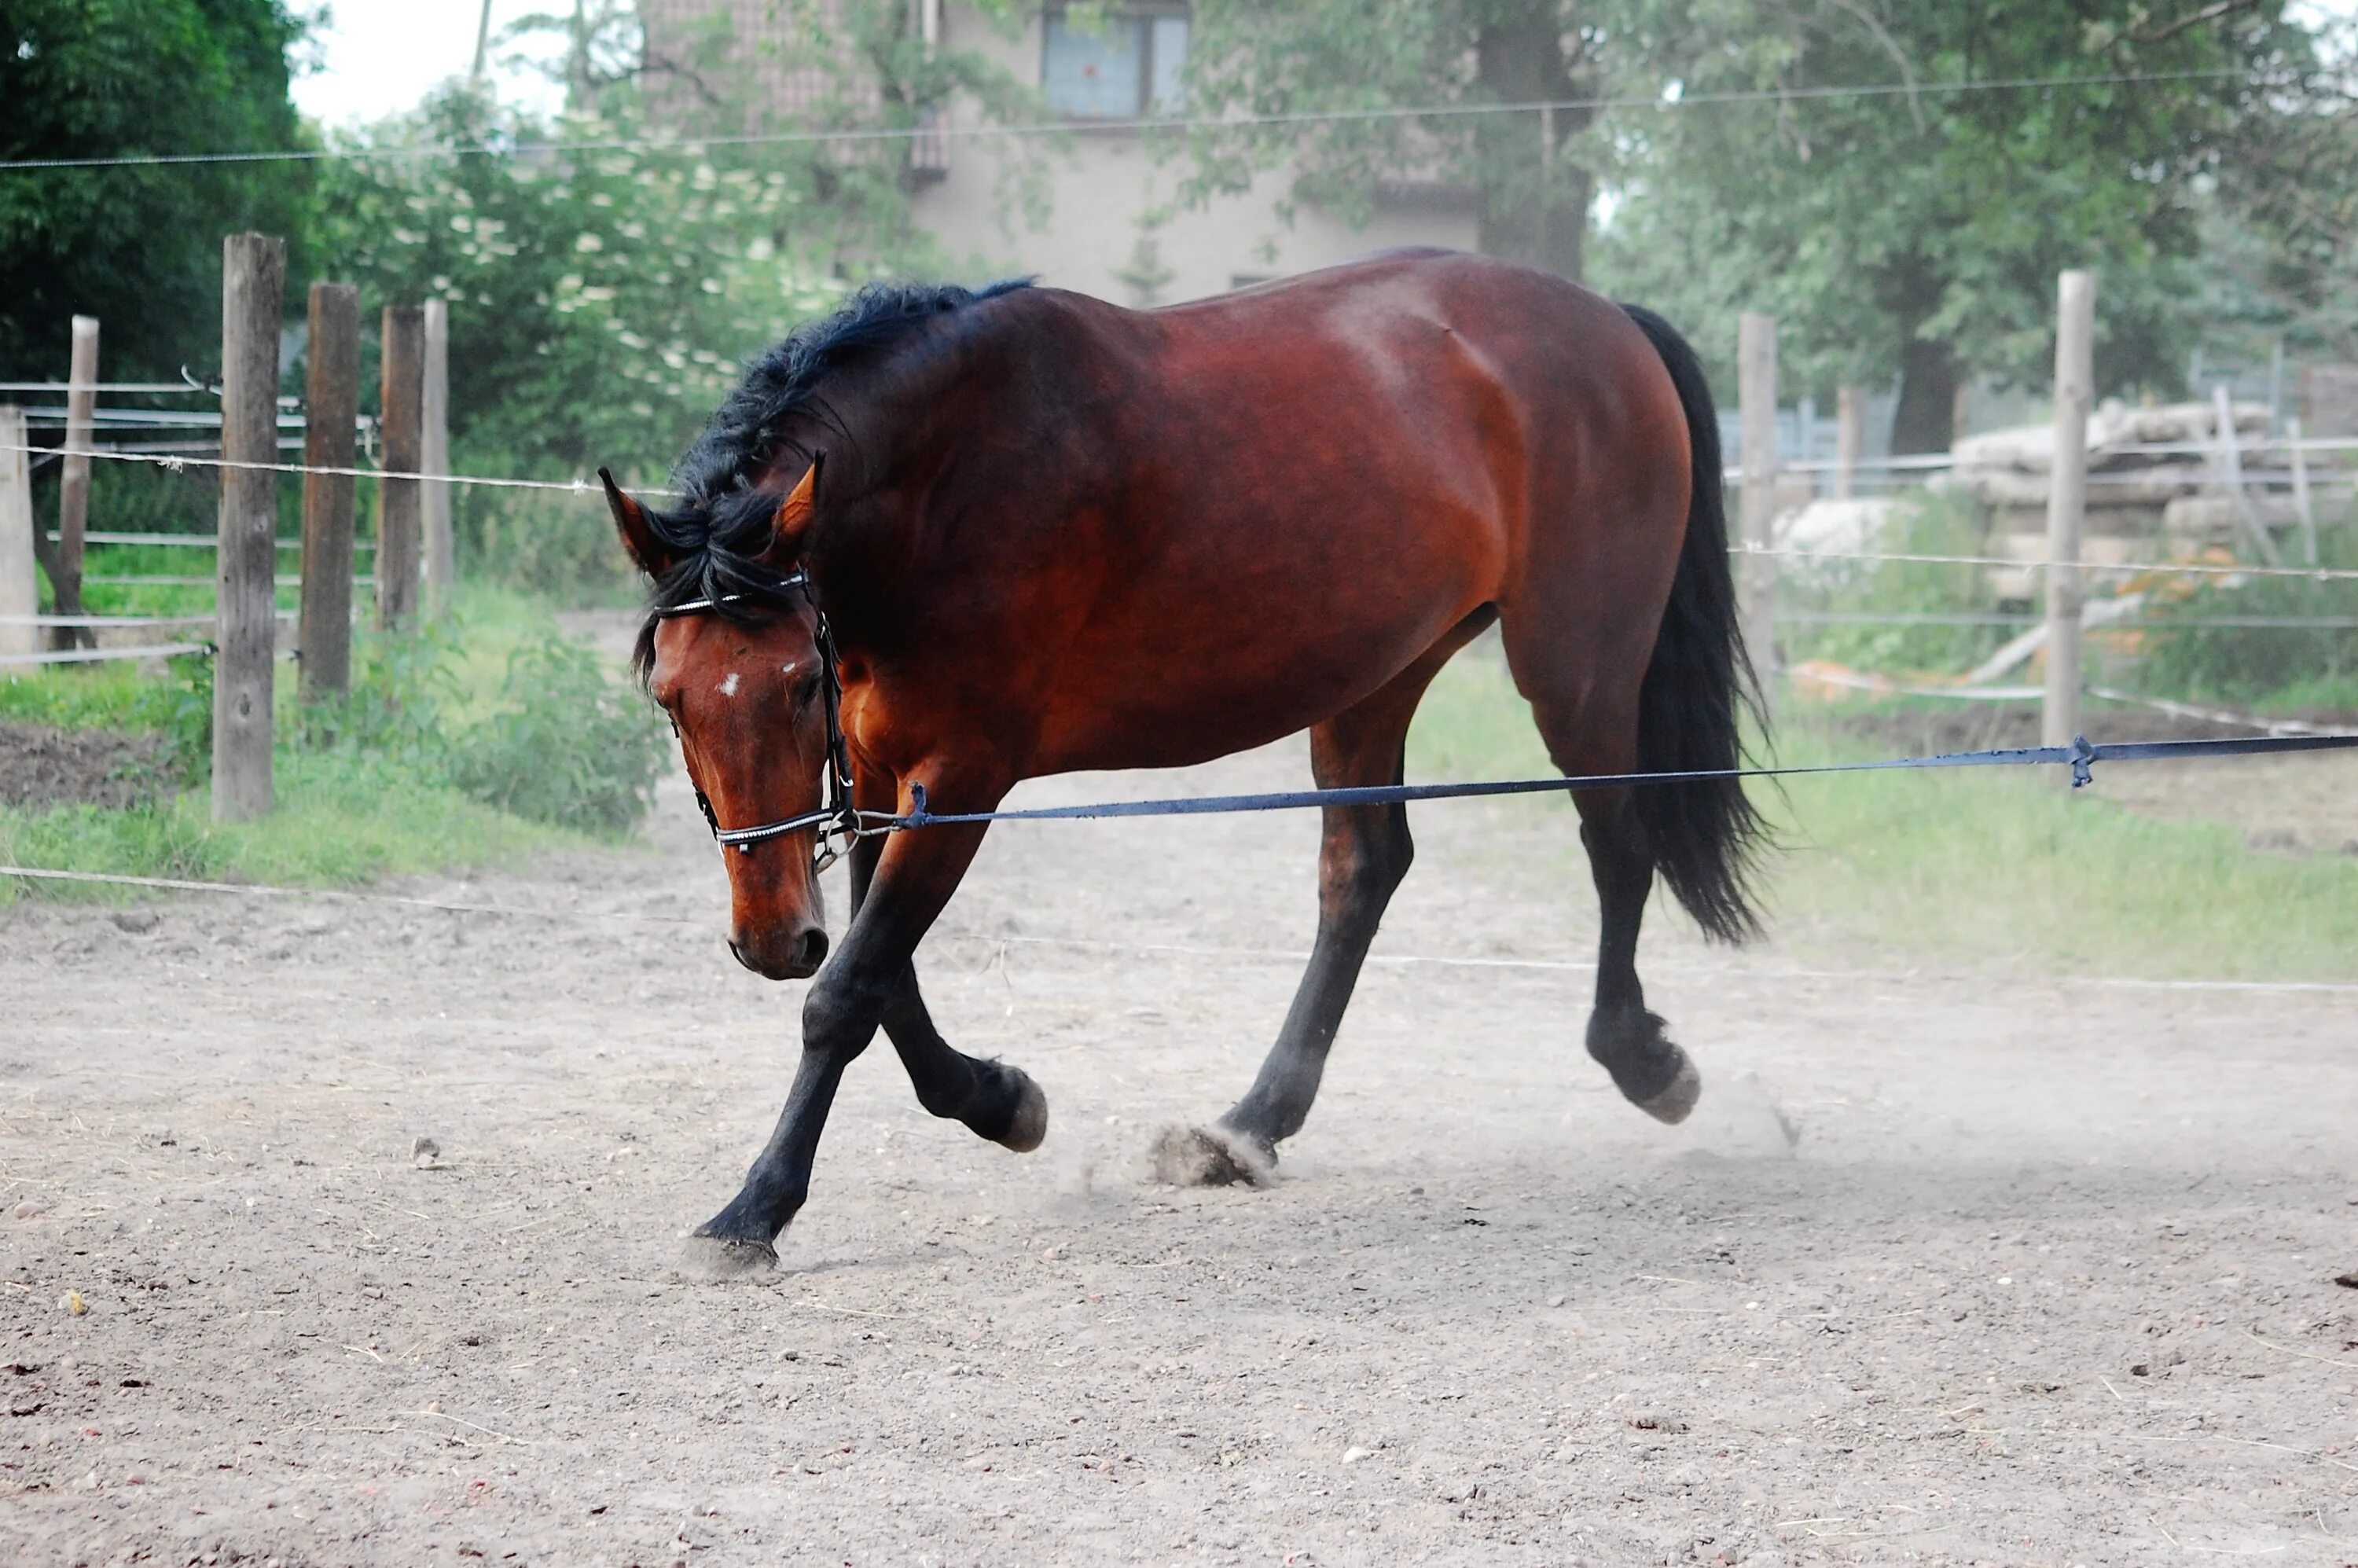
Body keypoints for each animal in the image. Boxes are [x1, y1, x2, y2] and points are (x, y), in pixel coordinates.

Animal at [599, 248, 1764, 1273]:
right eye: (669, 696)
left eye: (800, 680)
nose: (769, 939)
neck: (946, 478)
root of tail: (1607, 319)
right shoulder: (883, 781)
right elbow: (885, 985)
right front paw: (1002, 1100)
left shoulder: (964, 774)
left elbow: (849, 992)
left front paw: (754, 1210)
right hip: (1376, 674)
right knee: (1364, 870)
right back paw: (1250, 1124)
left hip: (1577, 662)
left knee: (1617, 840)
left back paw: (1644, 1059)